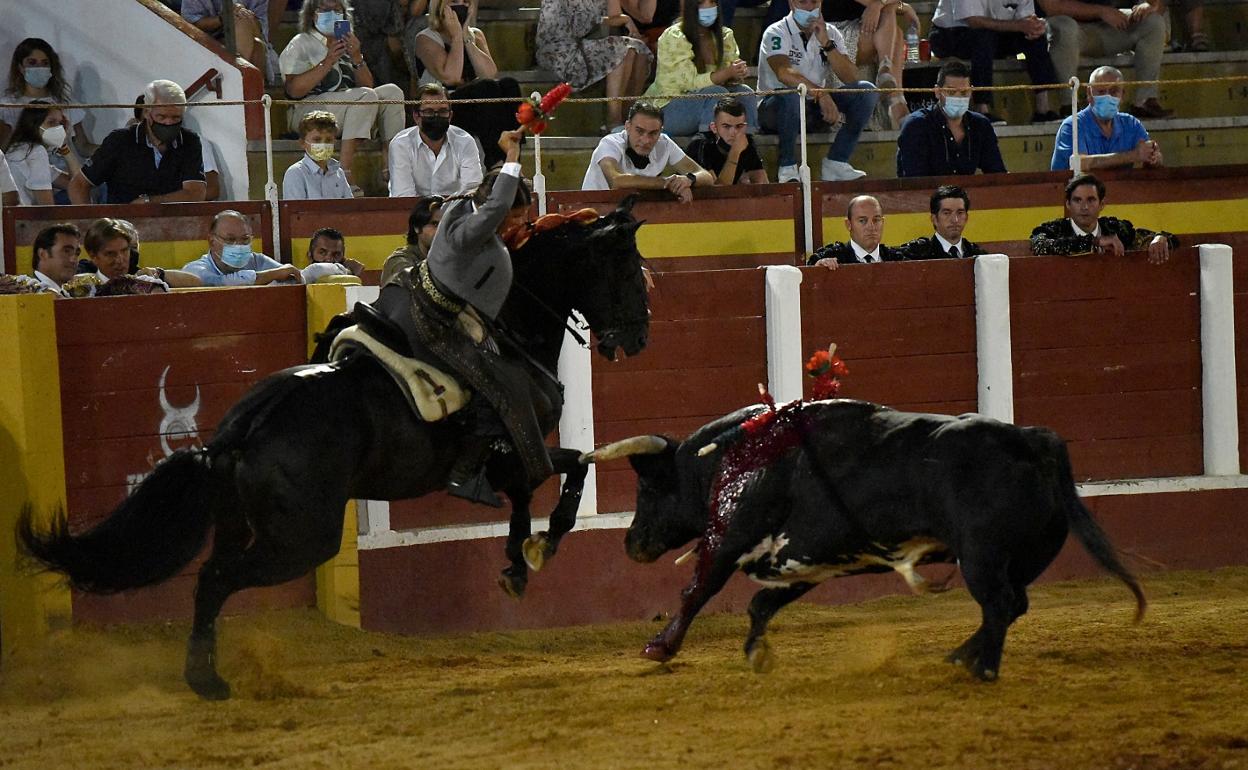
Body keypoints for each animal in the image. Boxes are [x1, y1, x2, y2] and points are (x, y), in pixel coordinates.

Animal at [19, 197, 648, 698]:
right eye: (626, 274)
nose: (639, 336)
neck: (506, 331)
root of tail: (243, 428)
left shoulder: (511, 460)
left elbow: (553, 484)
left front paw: (518, 566)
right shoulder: (517, 447)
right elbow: (572, 475)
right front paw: (538, 551)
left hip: (245, 524)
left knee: (212, 576)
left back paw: (206, 674)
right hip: (306, 536)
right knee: (217, 579)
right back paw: (209, 681)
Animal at [586, 399, 1148, 673]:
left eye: (648, 486)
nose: (631, 543)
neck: (731, 458)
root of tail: (1033, 440)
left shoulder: (729, 540)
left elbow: (697, 590)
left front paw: (660, 647)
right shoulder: (805, 555)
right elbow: (762, 605)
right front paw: (755, 653)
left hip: (981, 558)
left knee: (998, 605)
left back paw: (982, 668)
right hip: (1023, 557)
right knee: (1012, 606)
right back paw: (962, 657)